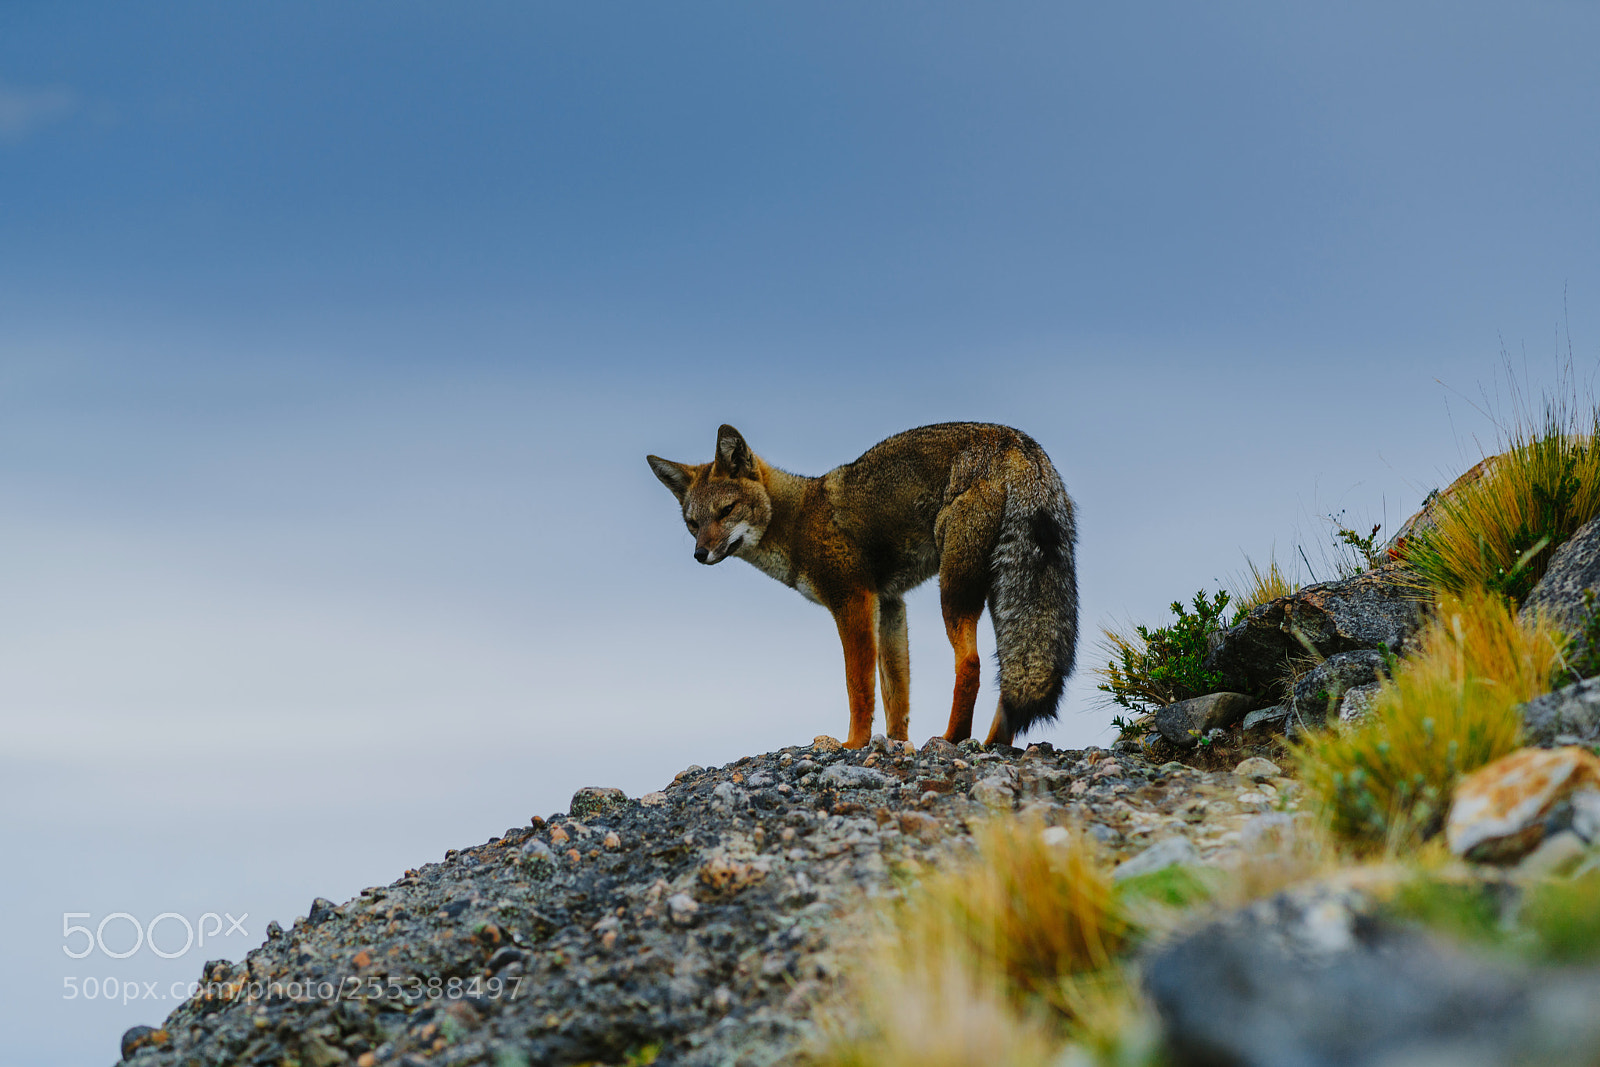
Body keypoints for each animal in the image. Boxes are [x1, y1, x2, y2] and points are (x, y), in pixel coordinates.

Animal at [647, 423, 1077, 749]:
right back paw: (992, 743)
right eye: (693, 523)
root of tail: (1015, 440)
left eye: (726, 511)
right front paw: (896, 742)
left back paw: (953, 738)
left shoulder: (852, 599)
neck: (797, 519)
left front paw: (854, 743)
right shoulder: (889, 604)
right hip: (996, 591)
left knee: (970, 664)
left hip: (955, 589)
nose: (700, 554)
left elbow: (859, 686)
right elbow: (895, 692)